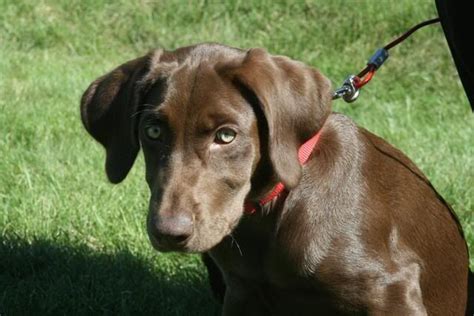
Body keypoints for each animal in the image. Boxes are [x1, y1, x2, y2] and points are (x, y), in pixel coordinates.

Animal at [79, 43, 472, 314]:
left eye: (226, 136)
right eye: (153, 131)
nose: (168, 233)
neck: (271, 213)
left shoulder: (391, 289)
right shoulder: (243, 292)